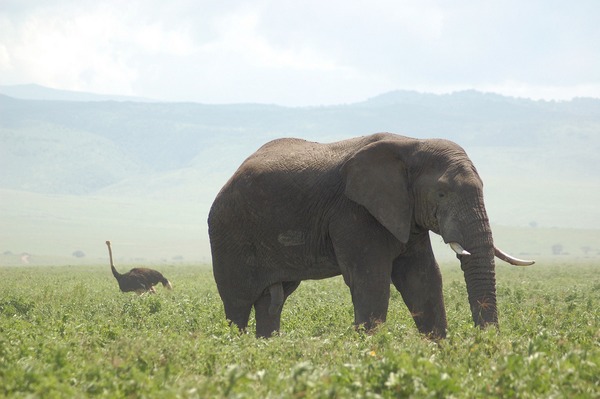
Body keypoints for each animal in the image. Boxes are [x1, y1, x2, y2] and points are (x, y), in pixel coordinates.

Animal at [207, 134, 536, 338]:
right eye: (441, 193)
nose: (486, 343)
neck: (411, 144)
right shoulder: (354, 213)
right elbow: (371, 281)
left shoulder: (405, 214)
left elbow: (423, 278)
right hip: (227, 232)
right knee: (237, 303)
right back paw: (236, 347)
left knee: (271, 301)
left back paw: (267, 347)